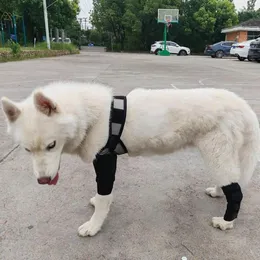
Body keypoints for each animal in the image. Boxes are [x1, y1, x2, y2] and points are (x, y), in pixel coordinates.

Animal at [1, 82, 258, 237]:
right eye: (26, 150)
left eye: (51, 145)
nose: (43, 181)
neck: (90, 115)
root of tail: (241, 105)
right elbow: (102, 194)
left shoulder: (105, 159)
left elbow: (104, 197)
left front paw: (94, 225)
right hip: (221, 156)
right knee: (230, 180)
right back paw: (217, 191)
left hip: (215, 153)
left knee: (236, 192)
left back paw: (226, 222)